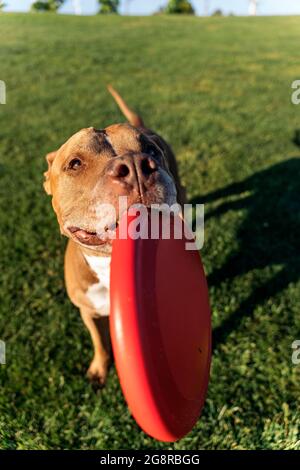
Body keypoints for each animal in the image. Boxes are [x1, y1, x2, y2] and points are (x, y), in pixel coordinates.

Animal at [44, 85, 185, 386]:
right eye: (75, 163)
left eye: (151, 150)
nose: (136, 165)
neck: (110, 265)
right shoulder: (88, 311)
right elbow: (99, 341)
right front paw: (99, 368)